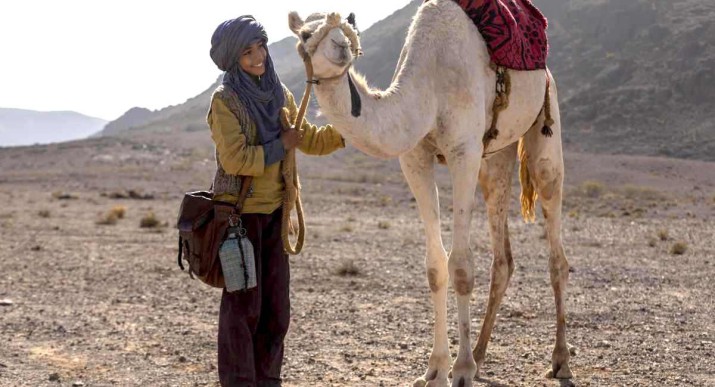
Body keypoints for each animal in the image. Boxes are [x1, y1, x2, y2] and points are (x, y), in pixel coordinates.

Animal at [288, 1, 572, 386]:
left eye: (348, 32)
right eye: (305, 34)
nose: (340, 47)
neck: (428, 87)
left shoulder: (464, 152)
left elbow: (462, 266)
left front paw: (462, 370)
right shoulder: (414, 158)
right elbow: (436, 267)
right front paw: (437, 368)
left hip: (545, 117)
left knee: (555, 245)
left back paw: (559, 360)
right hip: (495, 157)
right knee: (502, 255)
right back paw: (480, 353)